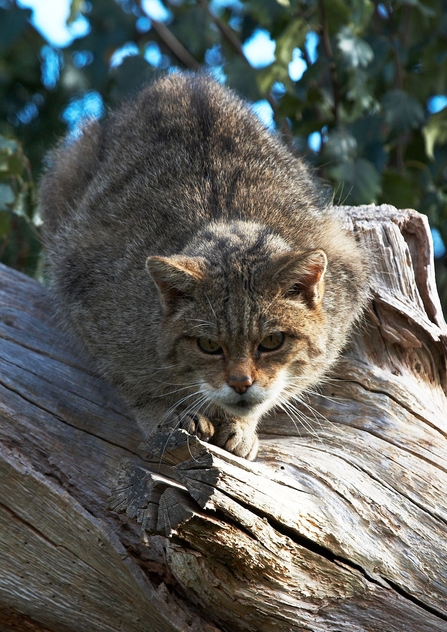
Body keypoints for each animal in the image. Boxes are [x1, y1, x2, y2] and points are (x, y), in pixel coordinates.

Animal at [40, 73, 370, 460]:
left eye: (272, 341)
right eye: (209, 345)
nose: (241, 384)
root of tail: (182, 78)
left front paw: (242, 426)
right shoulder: (84, 284)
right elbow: (134, 385)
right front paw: (168, 415)